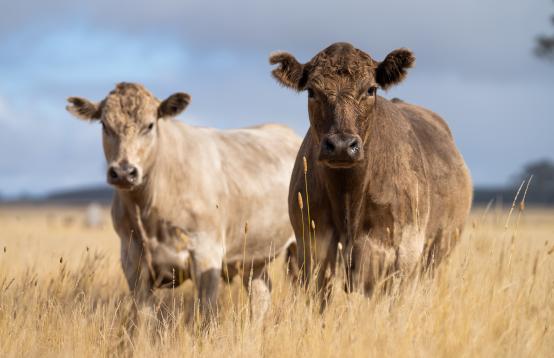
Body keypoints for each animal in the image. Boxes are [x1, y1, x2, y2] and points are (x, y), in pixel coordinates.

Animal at [66, 82, 300, 324]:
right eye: (105, 125)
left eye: (150, 125)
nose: (123, 172)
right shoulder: (133, 261)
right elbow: (144, 318)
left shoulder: (207, 254)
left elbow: (206, 313)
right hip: (253, 256)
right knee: (261, 293)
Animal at [268, 42, 470, 302]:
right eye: (311, 91)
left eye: (371, 89)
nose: (341, 145)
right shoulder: (312, 251)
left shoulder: (401, 255)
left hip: (435, 253)